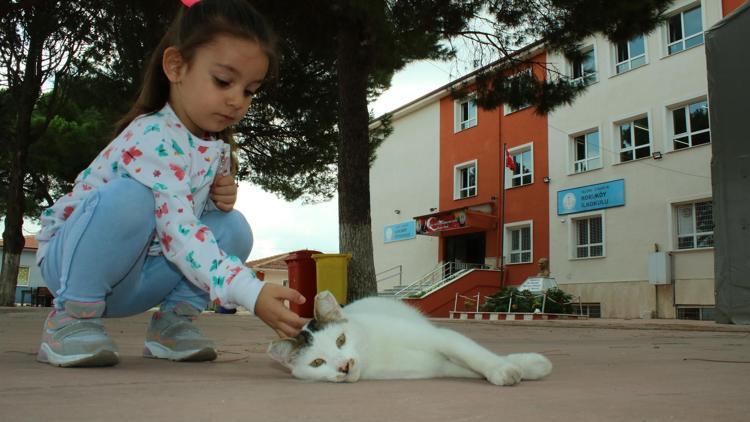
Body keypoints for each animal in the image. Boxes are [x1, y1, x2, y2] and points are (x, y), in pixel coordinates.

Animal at [270, 290, 552, 386]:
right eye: (317, 363)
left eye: (340, 340)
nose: (344, 366)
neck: (374, 353)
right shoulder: (439, 367)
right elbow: (468, 368)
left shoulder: (441, 338)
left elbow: (475, 355)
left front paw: (513, 367)